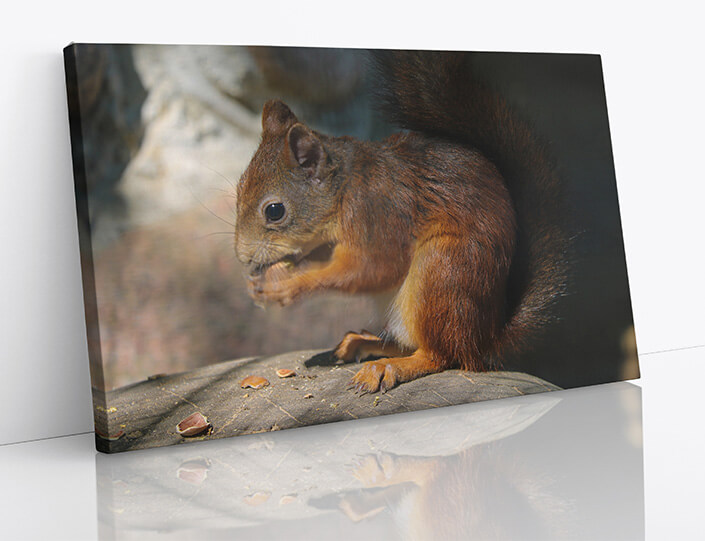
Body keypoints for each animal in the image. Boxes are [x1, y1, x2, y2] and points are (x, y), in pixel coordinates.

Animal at [234, 50, 568, 394]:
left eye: (274, 211)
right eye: (239, 188)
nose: (243, 257)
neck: (344, 190)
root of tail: (486, 340)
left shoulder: (378, 211)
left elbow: (374, 267)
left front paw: (285, 285)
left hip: (442, 270)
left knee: (442, 354)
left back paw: (392, 366)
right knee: (411, 343)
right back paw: (363, 343)